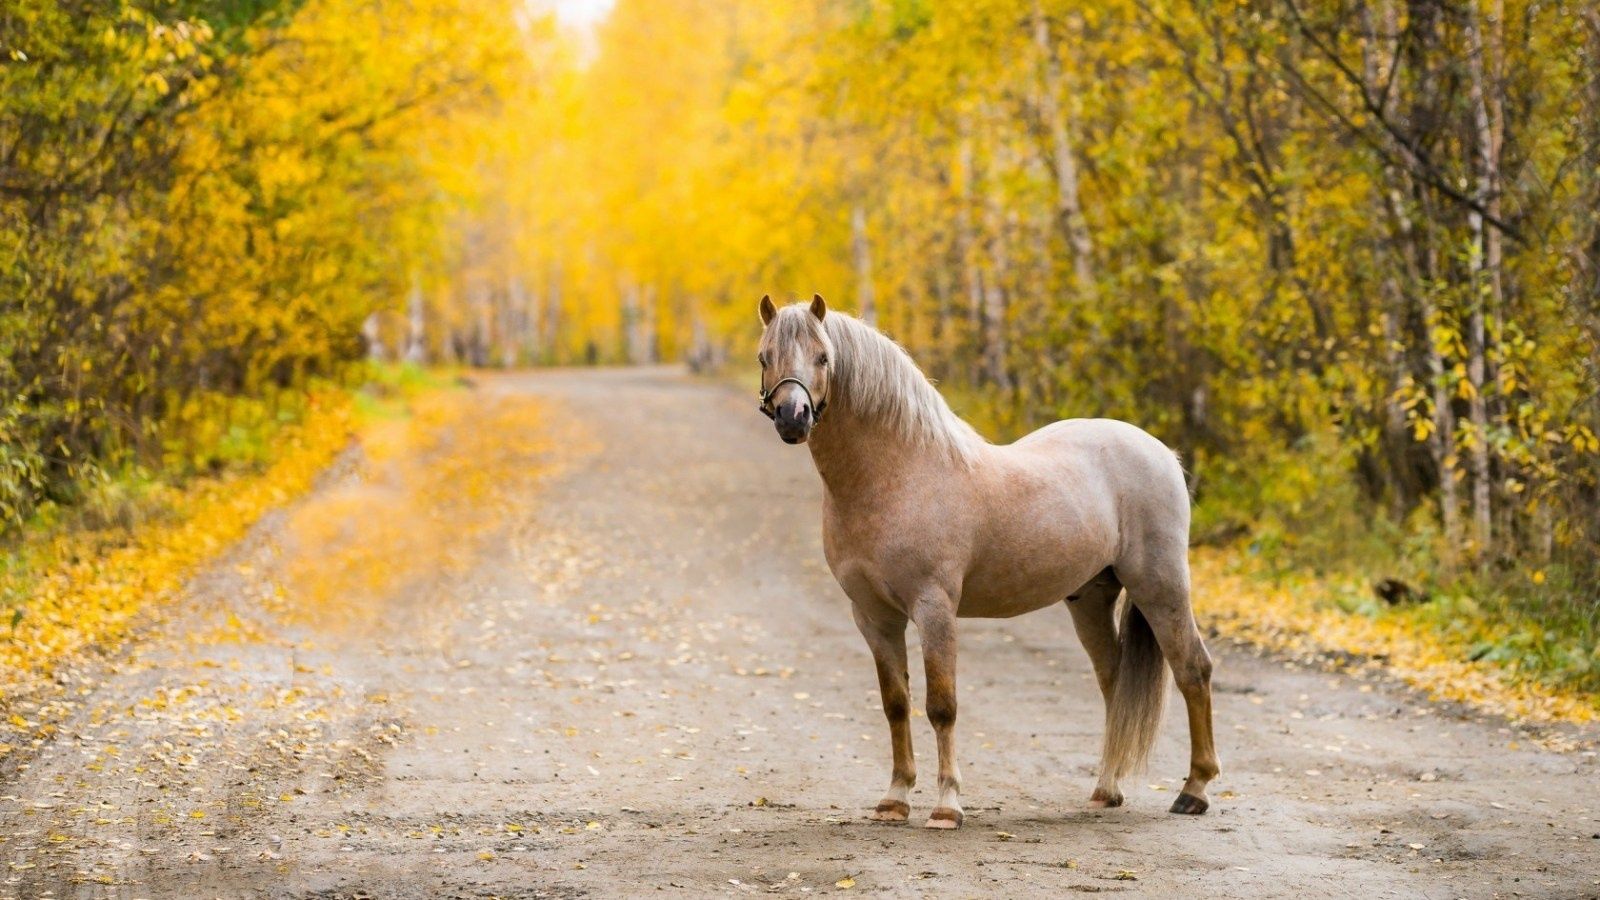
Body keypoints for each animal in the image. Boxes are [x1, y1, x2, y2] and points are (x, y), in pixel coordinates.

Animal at [755, 294, 1219, 829]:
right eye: (765, 356)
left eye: (824, 357)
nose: (793, 417)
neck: (899, 474)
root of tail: (1161, 452)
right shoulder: (873, 616)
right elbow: (896, 704)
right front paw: (895, 799)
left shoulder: (934, 608)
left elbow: (941, 705)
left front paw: (947, 806)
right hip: (1091, 598)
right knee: (1115, 683)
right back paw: (1106, 790)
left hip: (1161, 585)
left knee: (1192, 669)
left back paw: (1194, 791)